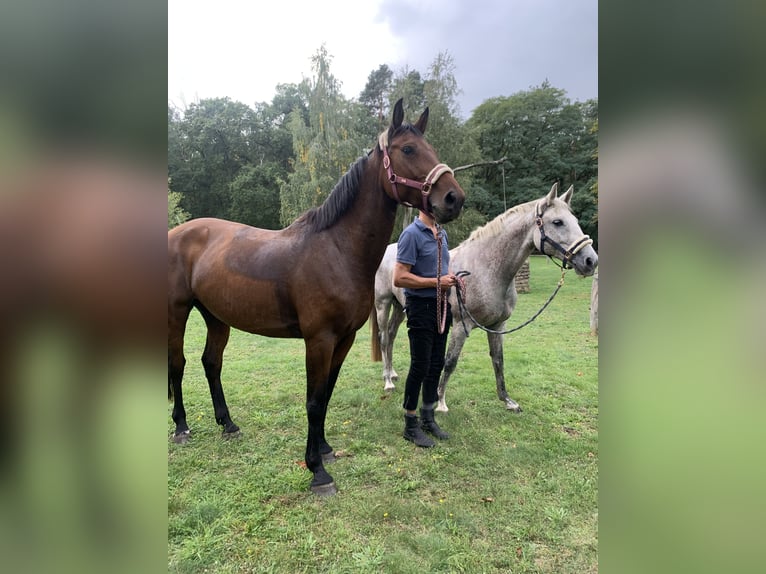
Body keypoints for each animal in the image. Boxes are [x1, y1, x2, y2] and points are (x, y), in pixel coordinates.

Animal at [168, 99, 465, 496]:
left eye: (429, 147)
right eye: (408, 150)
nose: (453, 198)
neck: (337, 250)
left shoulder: (344, 339)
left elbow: (326, 395)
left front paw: (323, 449)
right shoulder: (319, 340)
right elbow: (312, 400)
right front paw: (317, 472)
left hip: (216, 316)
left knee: (210, 363)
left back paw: (227, 425)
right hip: (178, 312)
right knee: (178, 364)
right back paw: (181, 427)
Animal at [370, 182, 598, 412]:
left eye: (575, 220)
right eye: (557, 222)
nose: (590, 260)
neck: (486, 270)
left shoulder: (498, 325)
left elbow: (498, 360)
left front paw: (507, 400)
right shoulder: (461, 325)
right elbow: (450, 362)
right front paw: (440, 402)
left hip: (400, 307)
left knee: (391, 335)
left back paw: (392, 373)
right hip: (383, 304)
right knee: (384, 337)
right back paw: (387, 381)